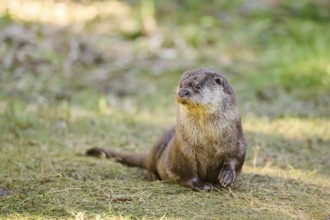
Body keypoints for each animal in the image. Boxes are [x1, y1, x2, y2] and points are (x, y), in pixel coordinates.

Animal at [86, 68, 246, 191]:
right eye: (180, 85)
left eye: (198, 86)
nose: (182, 92)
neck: (208, 140)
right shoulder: (183, 149)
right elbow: (187, 172)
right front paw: (202, 185)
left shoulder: (237, 141)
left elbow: (235, 158)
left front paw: (227, 176)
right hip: (157, 151)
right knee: (149, 166)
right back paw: (154, 177)